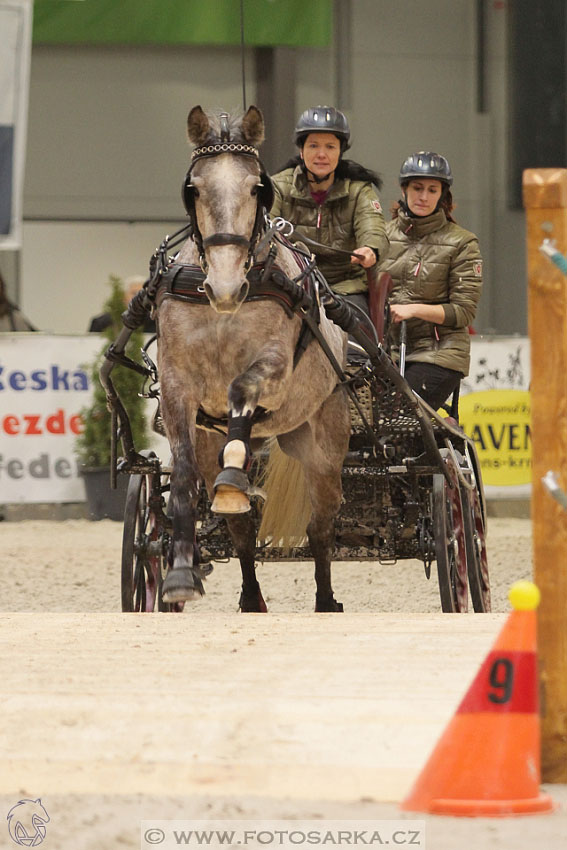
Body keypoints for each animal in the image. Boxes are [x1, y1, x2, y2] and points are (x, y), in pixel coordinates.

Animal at [153, 106, 352, 608]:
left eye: (255, 188)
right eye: (194, 188)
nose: (224, 287)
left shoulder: (274, 371)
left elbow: (241, 388)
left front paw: (236, 466)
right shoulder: (176, 386)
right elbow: (182, 479)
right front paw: (179, 574)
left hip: (325, 446)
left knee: (322, 526)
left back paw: (326, 600)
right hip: (232, 443)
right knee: (241, 529)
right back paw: (251, 597)